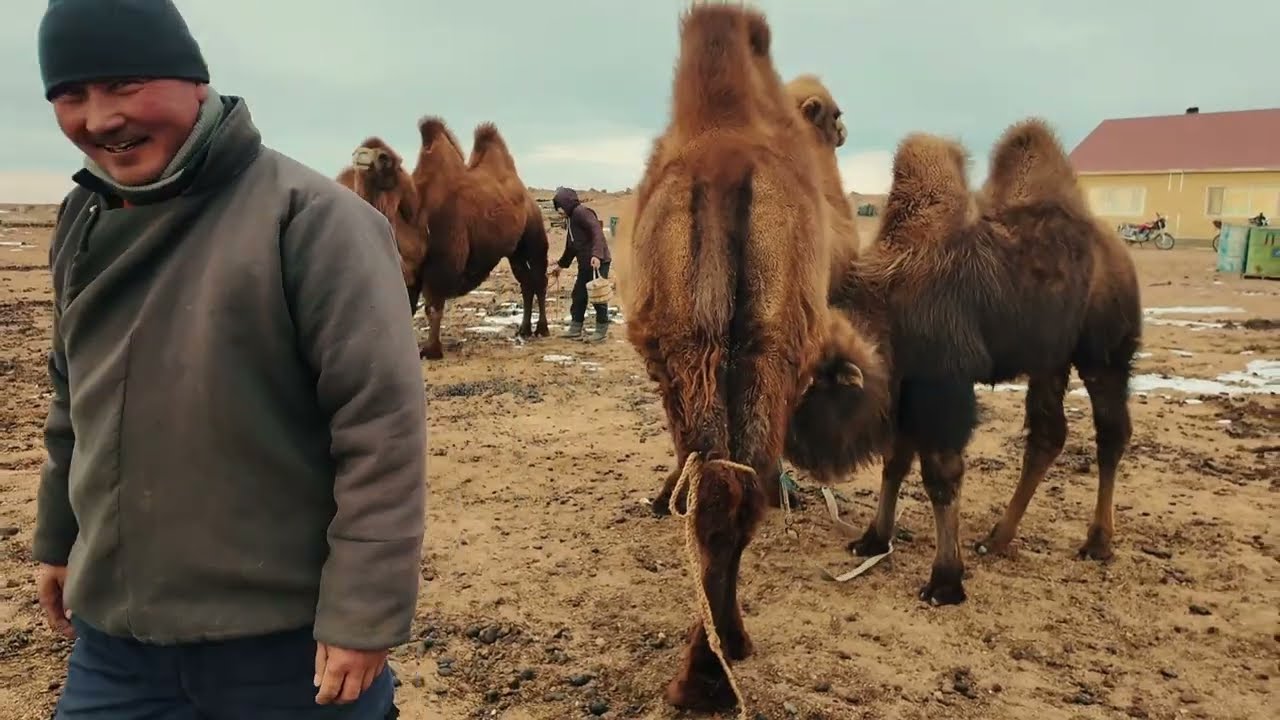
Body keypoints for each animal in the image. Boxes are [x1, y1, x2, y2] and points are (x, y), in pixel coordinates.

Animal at [410, 118, 550, 359]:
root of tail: (528, 197)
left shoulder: (442, 260)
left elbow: (433, 306)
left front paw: (431, 350)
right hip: (514, 252)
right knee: (526, 282)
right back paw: (523, 329)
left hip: (534, 237)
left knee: (539, 279)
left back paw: (542, 329)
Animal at [625, 5, 882, 713]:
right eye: (835, 111)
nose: (846, 127)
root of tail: (723, 169)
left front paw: (660, 499)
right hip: (764, 347)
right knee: (738, 485)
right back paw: (717, 664)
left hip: (711, 345)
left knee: (722, 483)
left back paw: (705, 672)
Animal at [785, 118, 1142, 606]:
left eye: (814, 388)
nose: (795, 450)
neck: (890, 303)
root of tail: (1120, 253)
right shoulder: (908, 386)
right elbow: (896, 461)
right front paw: (873, 540)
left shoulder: (943, 384)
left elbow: (941, 474)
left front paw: (945, 581)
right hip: (1049, 360)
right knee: (1048, 434)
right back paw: (997, 538)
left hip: (1102, 354)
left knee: (1111, 431)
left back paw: (1098, 542)